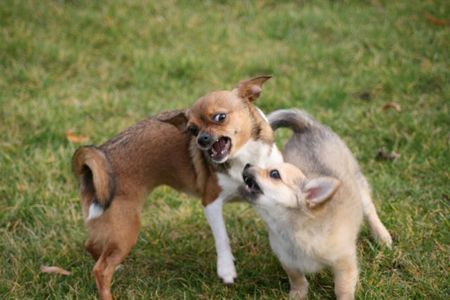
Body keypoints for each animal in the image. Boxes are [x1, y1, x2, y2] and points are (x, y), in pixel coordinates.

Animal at [72, 75, 284, 300]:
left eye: (220, 117)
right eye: (192, 129)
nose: (201, 139)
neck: (244, 157)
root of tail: (96, 160)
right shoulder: (211, 203)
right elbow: (222, 238)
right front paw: (226, 269)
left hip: (108, 225)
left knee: (91, 245)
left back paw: (117, 266)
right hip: (125, 228)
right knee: (101, 270)